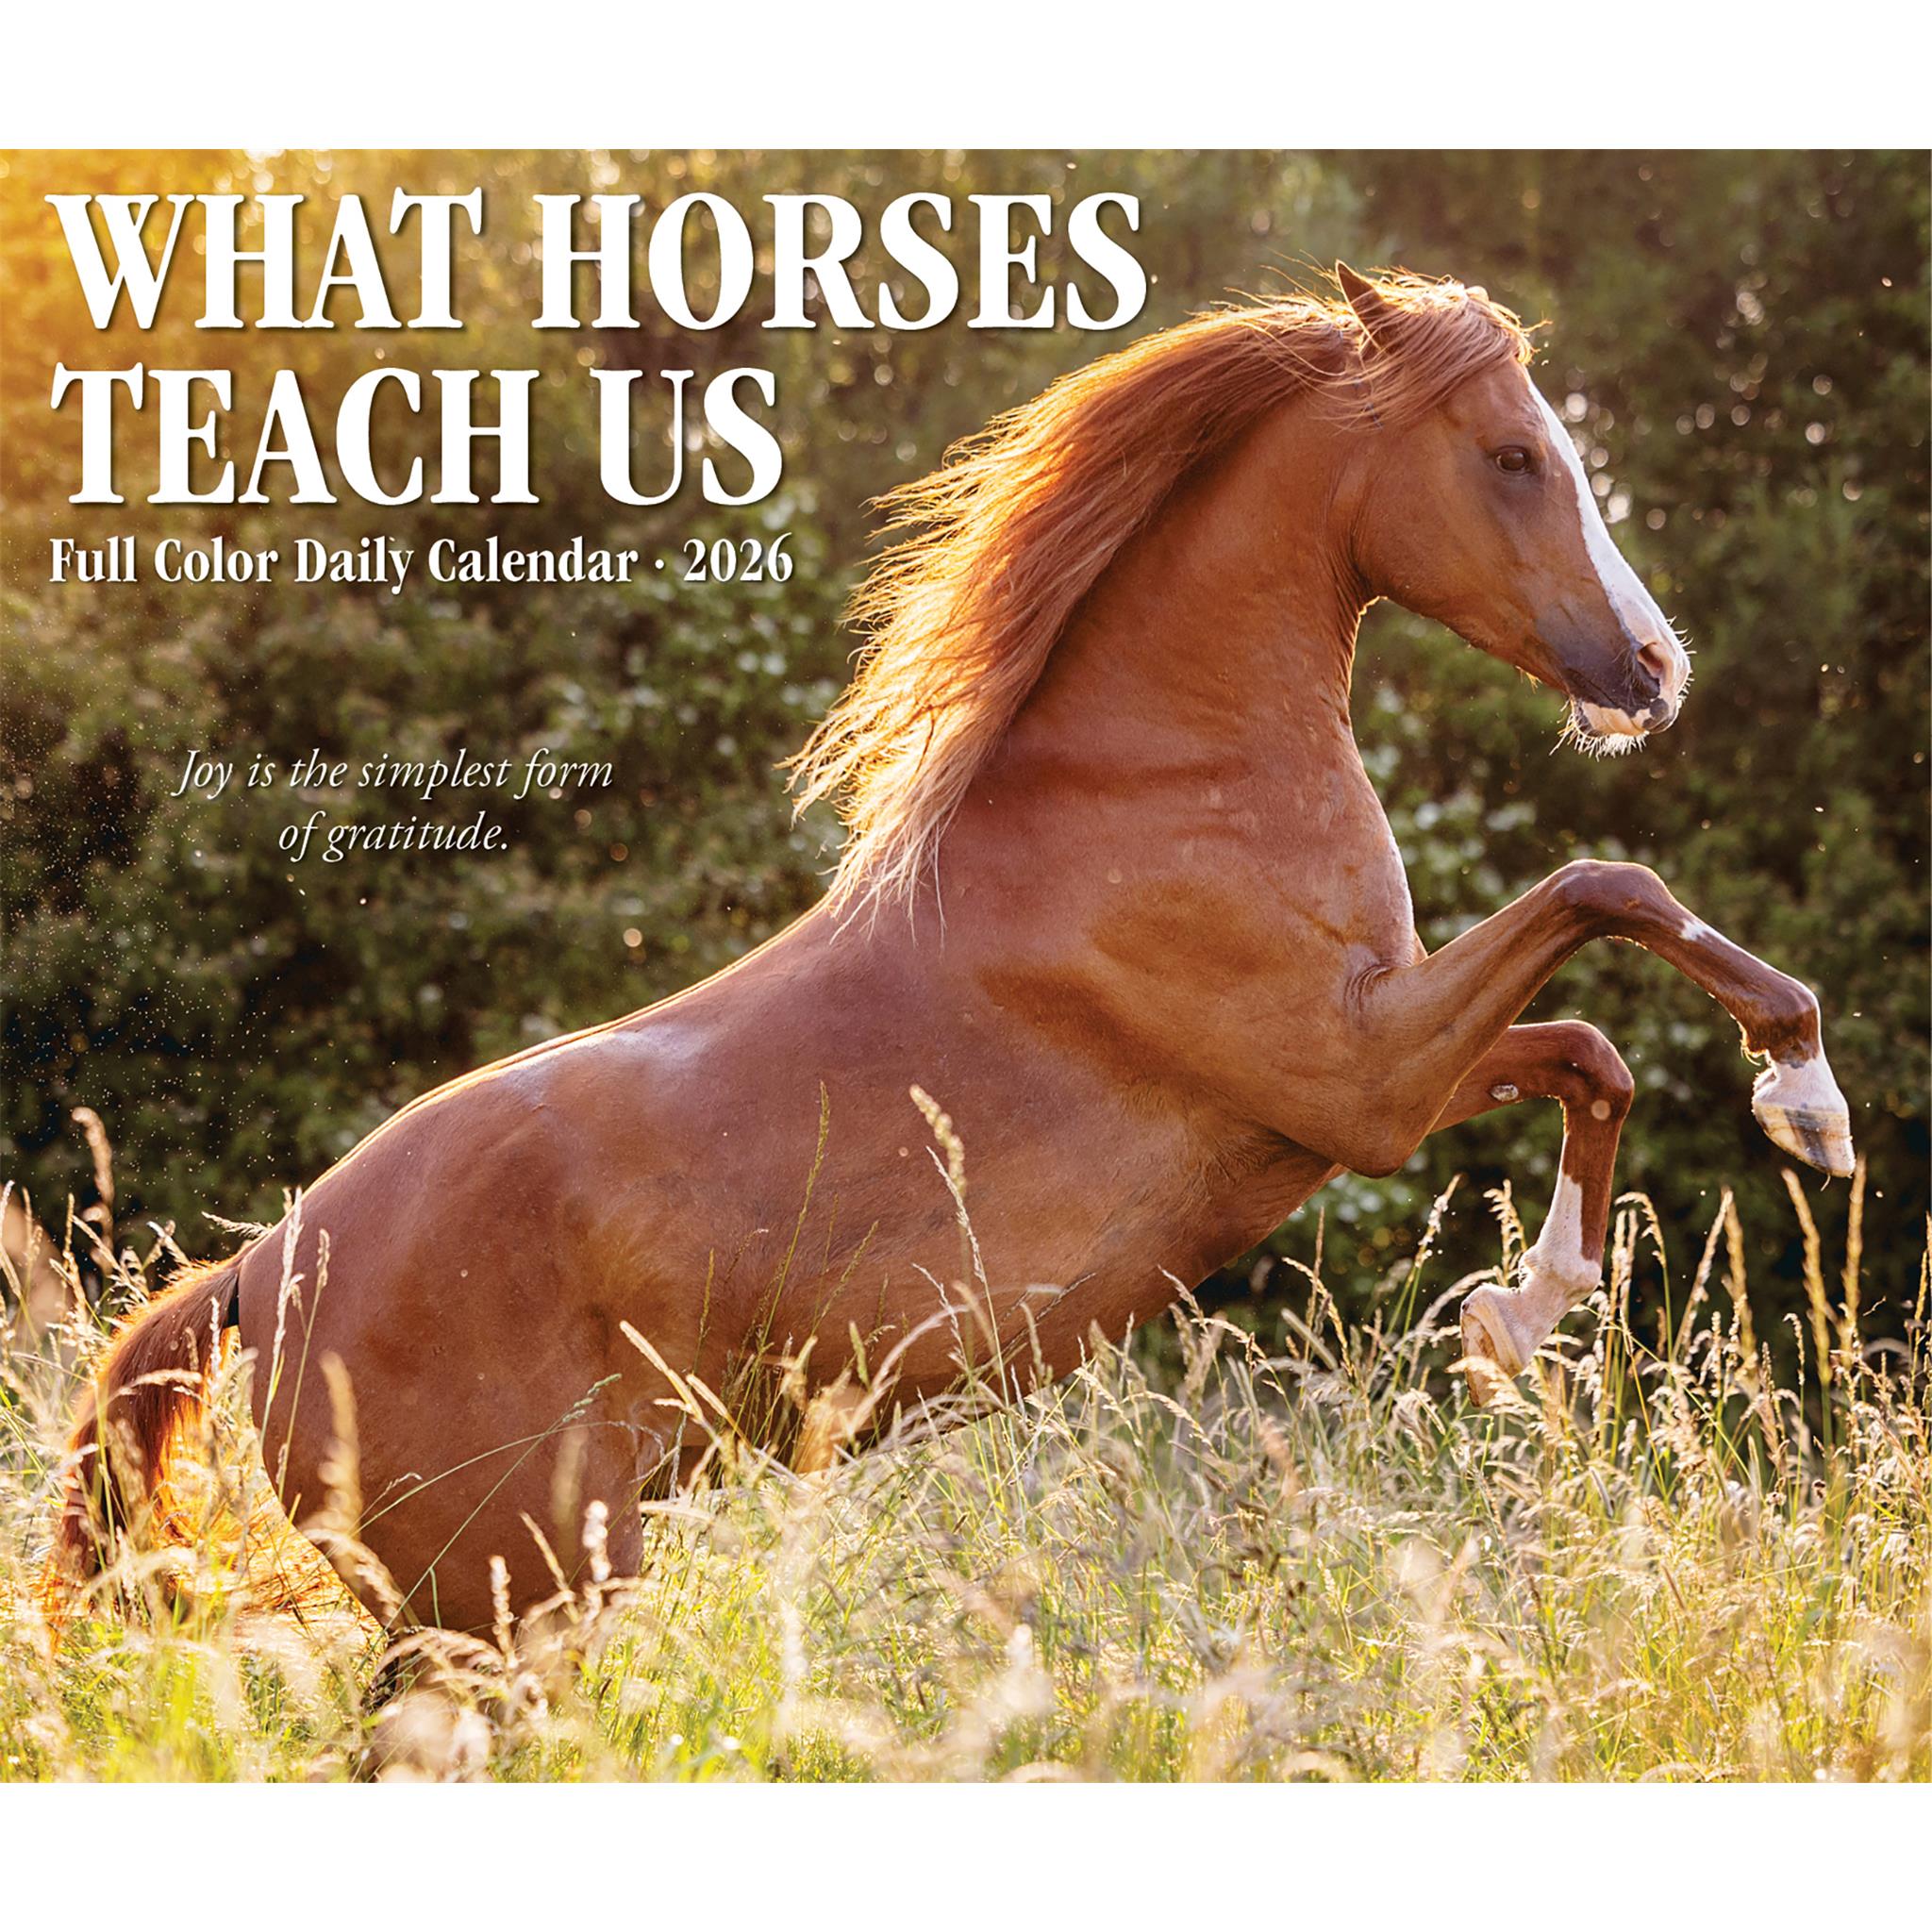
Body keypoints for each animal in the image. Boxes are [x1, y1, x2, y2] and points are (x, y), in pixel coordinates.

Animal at [49, 265, 1853, 1634]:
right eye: (1510, 457)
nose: (1653, 670)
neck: (1160, 779)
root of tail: (257, 1273)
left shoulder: (1362, 1077)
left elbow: (1590, 1048)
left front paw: (1514, 1318)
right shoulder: (1360, 1083)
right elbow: (1608, 889)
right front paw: (1804, 1100)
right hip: (523, 1593)